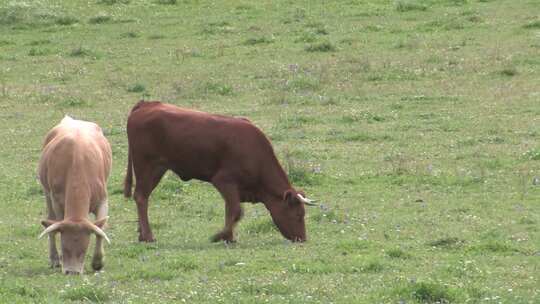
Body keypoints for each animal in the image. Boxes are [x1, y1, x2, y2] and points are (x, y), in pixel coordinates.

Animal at [39, 116, 113, 276]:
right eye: (65, 248)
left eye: (84, 251)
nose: (71, 272)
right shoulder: (56, 200)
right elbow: (55, 224)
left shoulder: (103, 200)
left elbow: (100, 230)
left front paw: (98, 262)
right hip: (47, 193)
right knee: (50, 220)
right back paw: (54, 259)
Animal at [123, 101, 316, 243]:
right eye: (298, 215)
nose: (302, 239)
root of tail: (146, 105)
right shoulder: (224, 181)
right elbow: (236, 211)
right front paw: (220, 236)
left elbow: (230, 210)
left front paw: (229, 237)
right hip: (148, 168)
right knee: (141, 197)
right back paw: (148, 236)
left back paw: (141, 234)